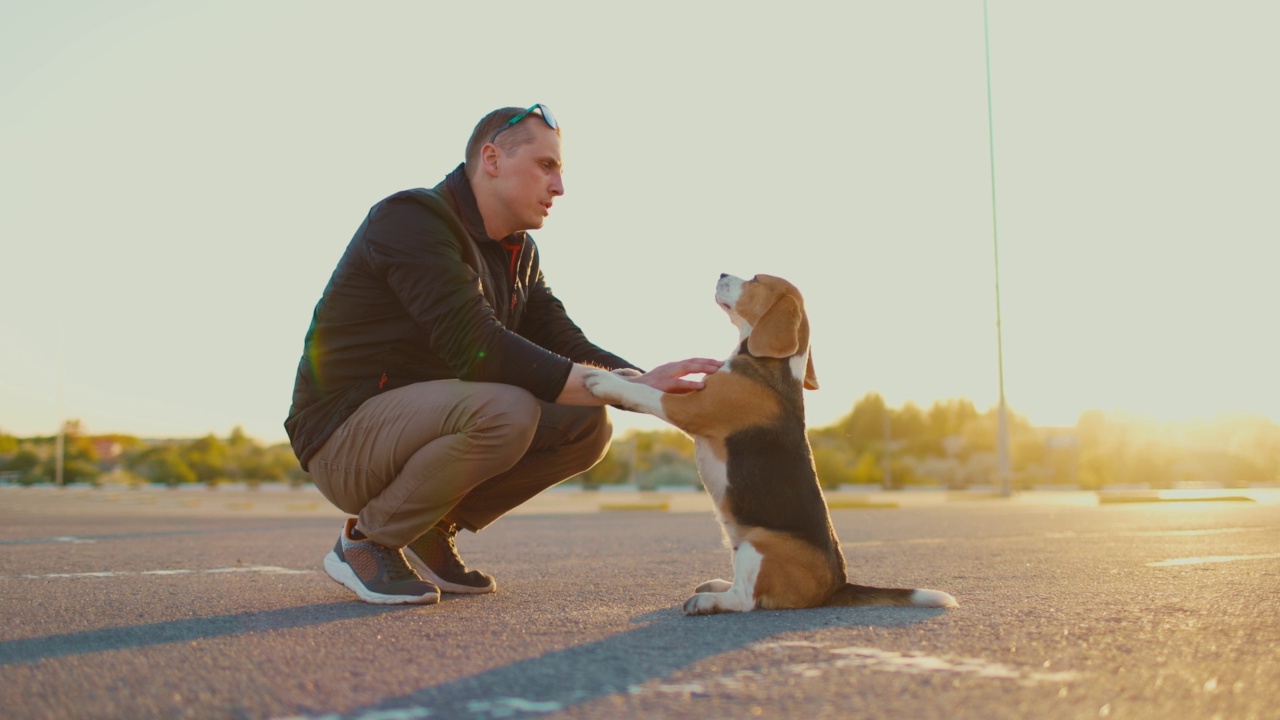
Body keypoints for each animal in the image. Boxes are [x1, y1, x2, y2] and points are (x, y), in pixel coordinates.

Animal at [586, 272, 957, 609]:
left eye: (754, 279)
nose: (721, 273)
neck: (770, 363)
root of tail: (836, 587)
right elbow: (650, 383)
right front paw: (624, 372)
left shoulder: (693, 408)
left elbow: (648, 394)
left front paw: (604, 381)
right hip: (740, 541)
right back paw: (717, 585)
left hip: (758, 543)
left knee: (745, 600)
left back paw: (711, 600)